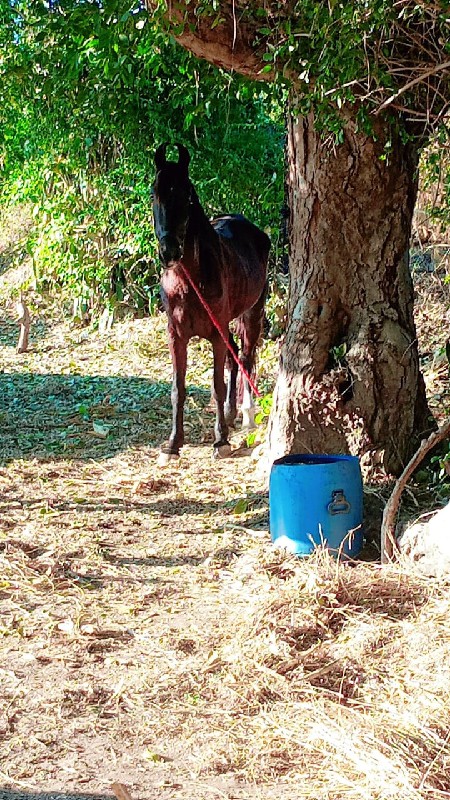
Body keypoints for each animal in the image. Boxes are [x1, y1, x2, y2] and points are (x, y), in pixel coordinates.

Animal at [153, 144, 268, 462]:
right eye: (155, 193)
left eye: (186, 195)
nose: (169, 251)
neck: (188, 279)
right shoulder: (176, 335)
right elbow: (178, 388)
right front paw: (173, 444)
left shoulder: (216, 334)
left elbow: (217, 384)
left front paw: (221, 441)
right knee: (235, 356)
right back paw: (230, 414)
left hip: (252, 314)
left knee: (245, 357)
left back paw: (247, 414)